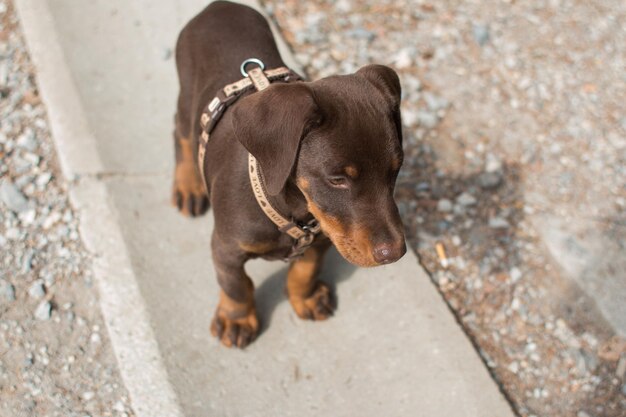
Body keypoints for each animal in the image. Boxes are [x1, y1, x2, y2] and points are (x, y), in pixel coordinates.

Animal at [172, 0, 404, 348]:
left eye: (396, 169)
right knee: (181, 131)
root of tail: (218, 5)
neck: (292, 208)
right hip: (188, 97)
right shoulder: (226, 247)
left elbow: (305, 269)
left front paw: (305, 298)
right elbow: (235, 285)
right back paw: (188, 185)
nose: (395, 253)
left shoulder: (323, 236)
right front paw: (236, 319)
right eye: (337, 179)